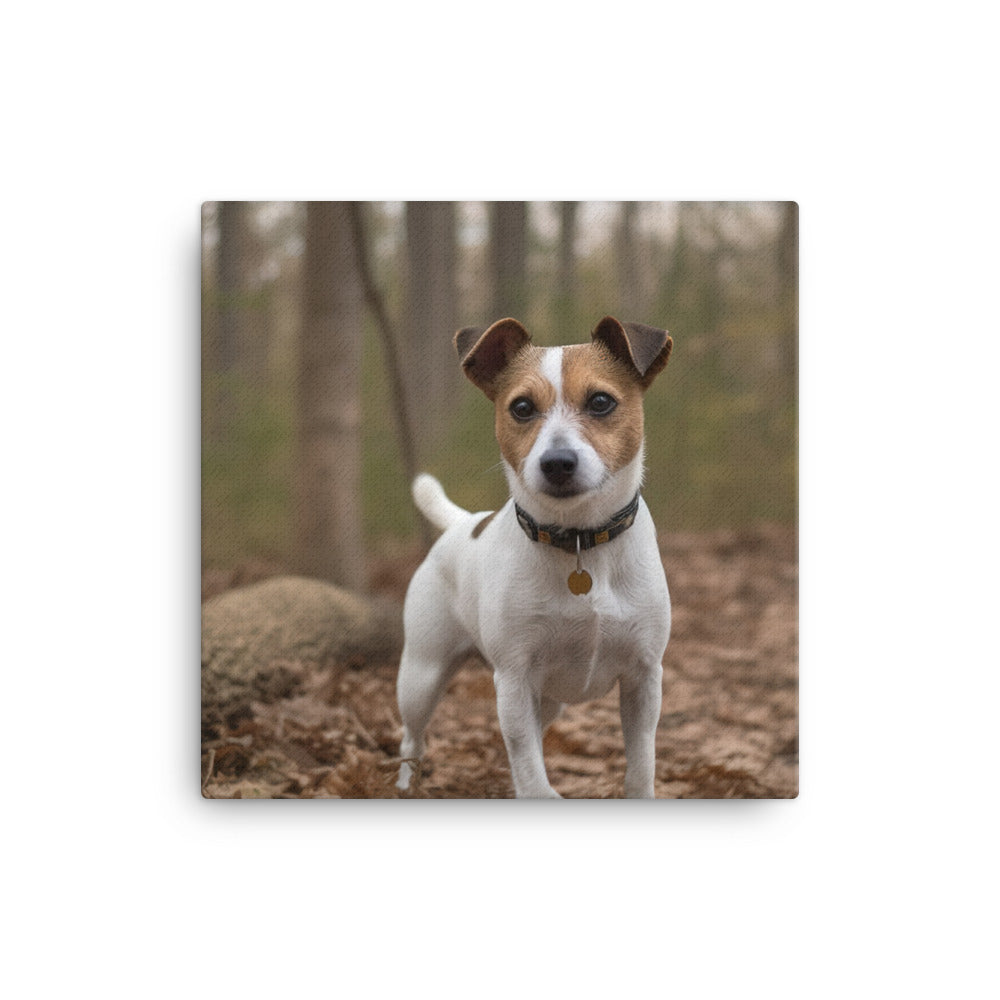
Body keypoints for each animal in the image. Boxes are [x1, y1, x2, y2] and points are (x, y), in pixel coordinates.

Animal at [396, 314, 672, 796]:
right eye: (522, 408)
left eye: (601, 401)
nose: (557, 462)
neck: (578, 540)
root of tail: (461, 523)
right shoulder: (514, 677)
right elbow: (529, 768)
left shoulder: (643, 678)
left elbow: (641, 766)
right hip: (422, 675)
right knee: (412, 737)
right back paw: (405, 783)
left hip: (549, 700)